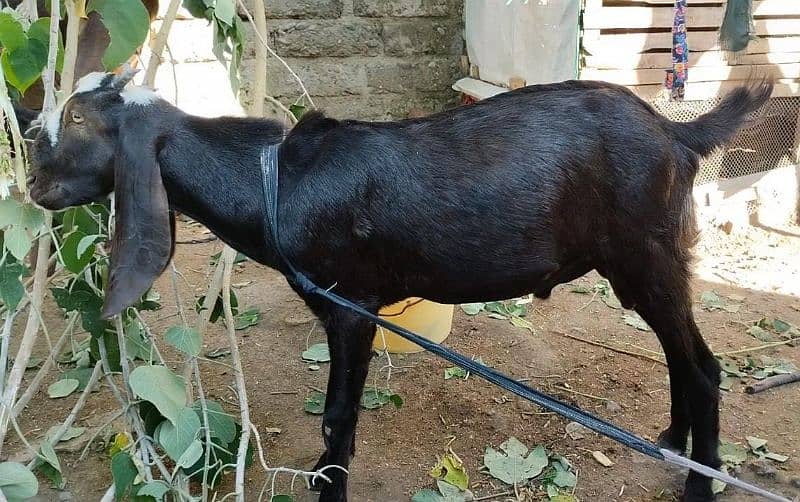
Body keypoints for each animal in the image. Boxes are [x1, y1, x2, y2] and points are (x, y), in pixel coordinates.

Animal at [28, 71, 772, 502]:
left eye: (77, 121)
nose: (34, 187)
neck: (273, 183)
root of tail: (678, 133)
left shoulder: (352, 306)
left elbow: (337, 417)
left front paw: (329, 490)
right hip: (644, 264)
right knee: (679, 355)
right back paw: (672, 440)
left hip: (647, 253)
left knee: (704, 367)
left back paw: (699, 483)